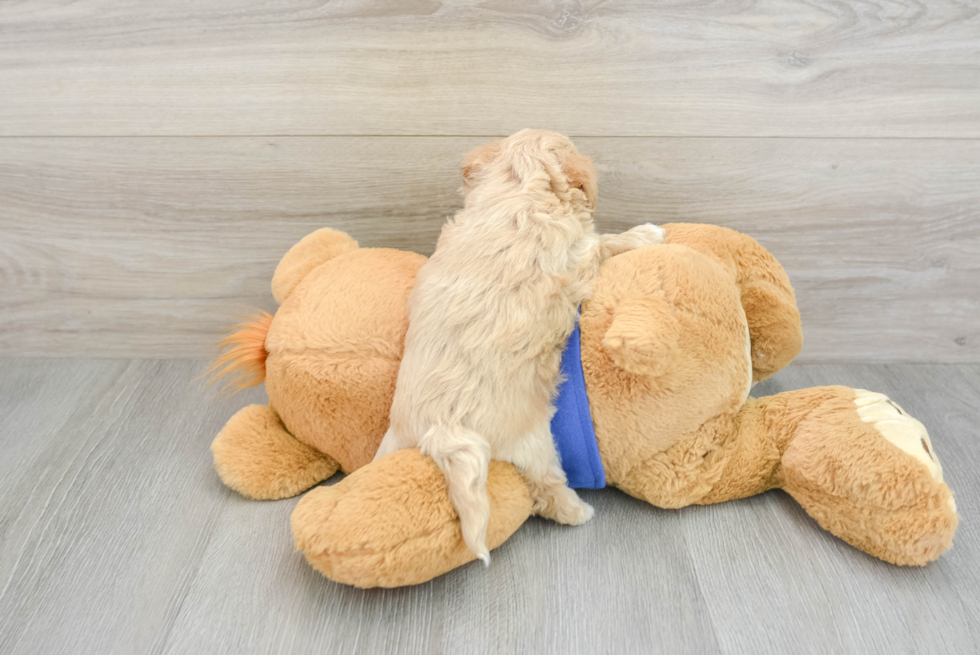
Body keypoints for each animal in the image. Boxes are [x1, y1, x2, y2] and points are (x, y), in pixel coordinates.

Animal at [376, 129, 668, 564]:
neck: (517, 184)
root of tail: (441, 432)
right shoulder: (576, 260)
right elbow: (604, 243)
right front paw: (645, 234)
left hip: (394, 442)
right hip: (534, 442)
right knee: (546, 490)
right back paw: (578, 512)